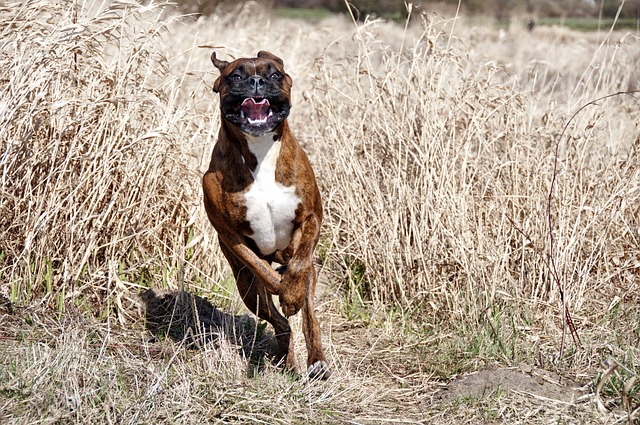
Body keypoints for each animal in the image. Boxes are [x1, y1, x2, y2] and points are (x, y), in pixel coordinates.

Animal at [201, 51, 330, 380]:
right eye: (235, 76)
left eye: (275, 75)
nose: (257, 81)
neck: (260, 152)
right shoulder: (232, 238)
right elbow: (264, 273)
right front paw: (284, 291)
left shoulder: (311, 218)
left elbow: (299, 265)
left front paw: (292, 293)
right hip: (247, 288)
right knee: (278, 321)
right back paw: (289, 358)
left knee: (309, 317)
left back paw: (316, 361)